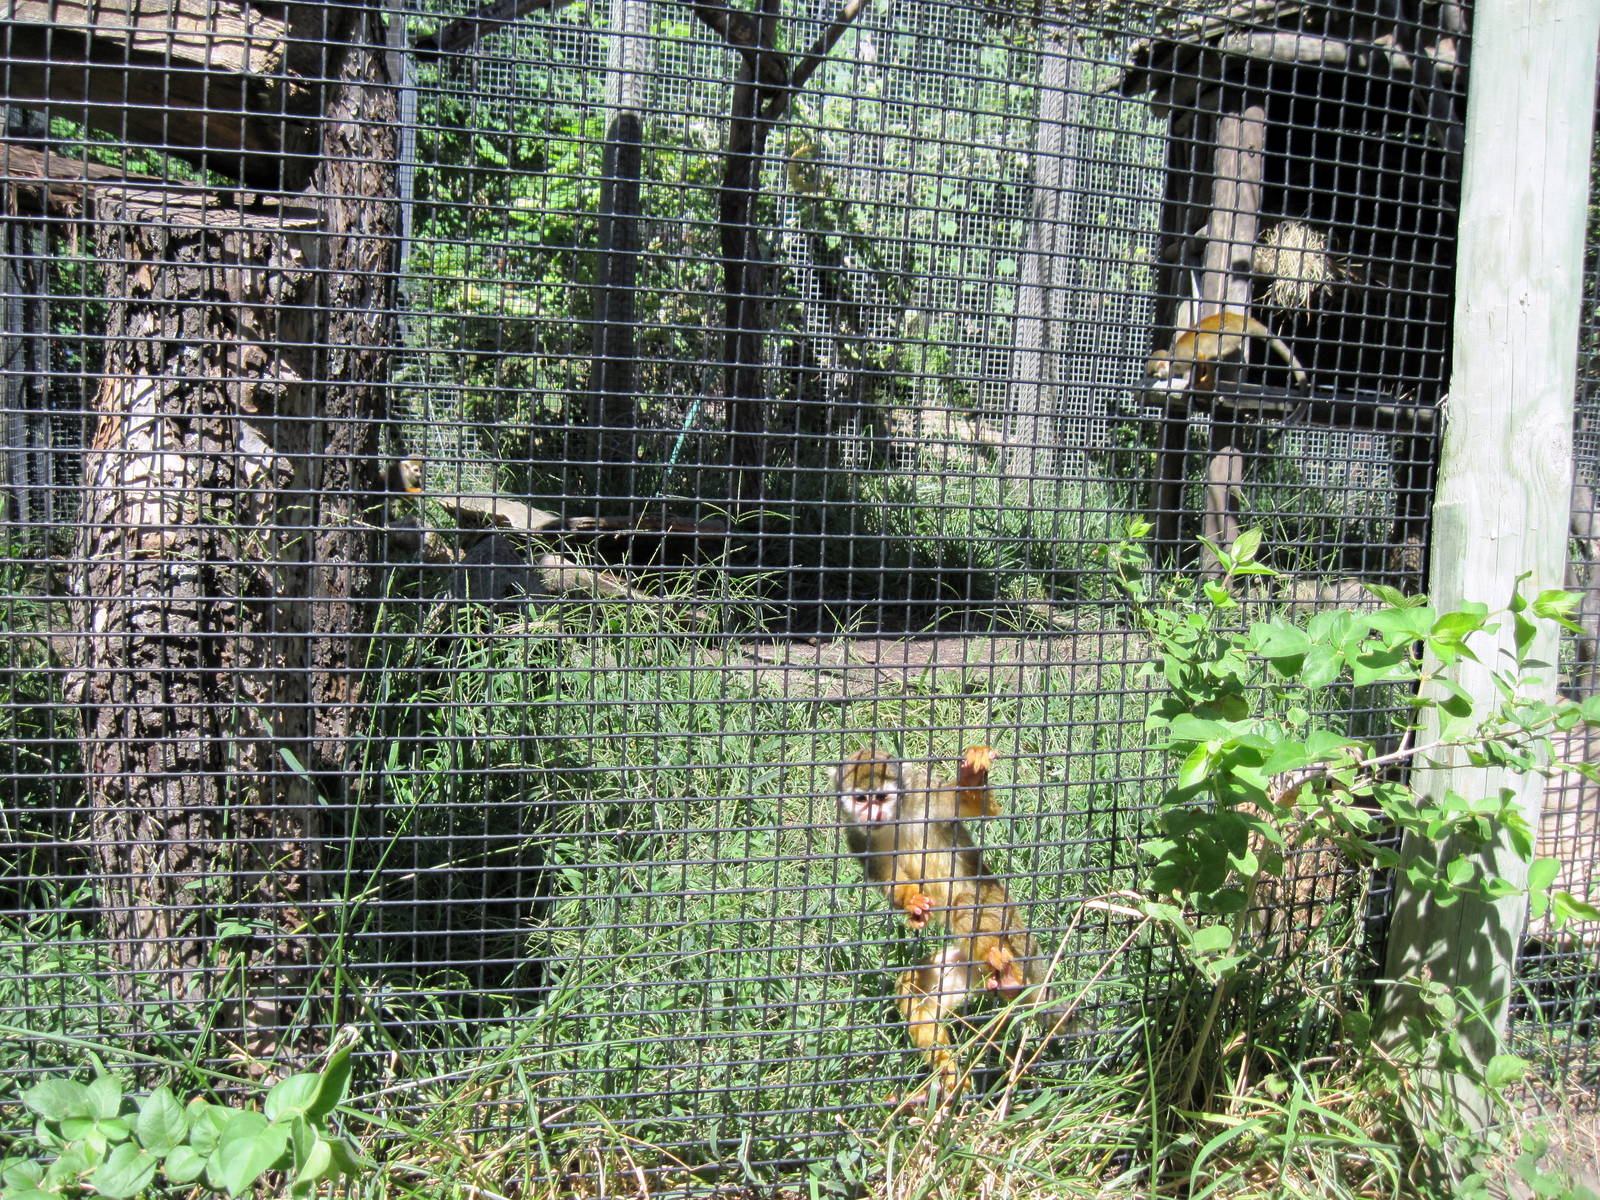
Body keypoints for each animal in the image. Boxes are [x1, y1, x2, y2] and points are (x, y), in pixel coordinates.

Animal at [831, 747, 1058, 1096]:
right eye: (861, 799)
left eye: (881, 797)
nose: (873, 814)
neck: (895, 818)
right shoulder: (856, 836)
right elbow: (885, 877)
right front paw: (911, 904)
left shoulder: (928, 797)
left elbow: (978, 810)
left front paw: (972, 778)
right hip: (964, 967)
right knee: (911, 988)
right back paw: (947, 1069)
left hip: (1004, 920)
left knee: (967, 905)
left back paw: (1010, 980)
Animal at [1144, 311, 1308, 394]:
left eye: (1155, 374)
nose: (1159, 378)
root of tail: (1239, 319)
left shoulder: (1181, 360)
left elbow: (1199, 358)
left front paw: (1193, 384)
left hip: (1229, 335)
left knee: (1210, 355)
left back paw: (1208, 383)